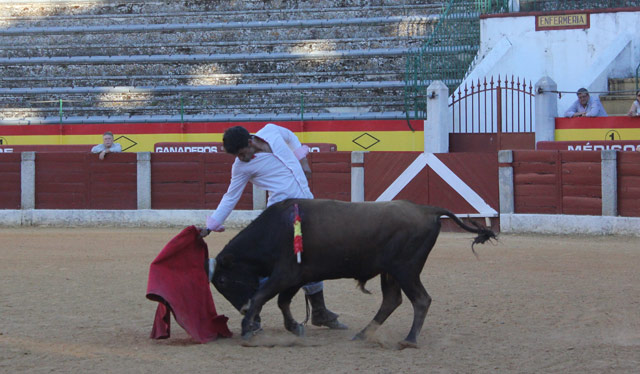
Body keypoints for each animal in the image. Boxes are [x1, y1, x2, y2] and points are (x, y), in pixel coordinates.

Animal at [210, 199, 496, 348]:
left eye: (222, 279)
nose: (243, 310)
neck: (274, 229)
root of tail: (428, 210)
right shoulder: (295, 276)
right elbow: (282, 301)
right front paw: (294, 327)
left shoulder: (285, 274)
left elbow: (262, 296)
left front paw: (247, 330)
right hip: (391, 272)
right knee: (392, 300)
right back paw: (363, 334)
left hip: (406, 269)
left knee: (420, 300)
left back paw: (409, 339)